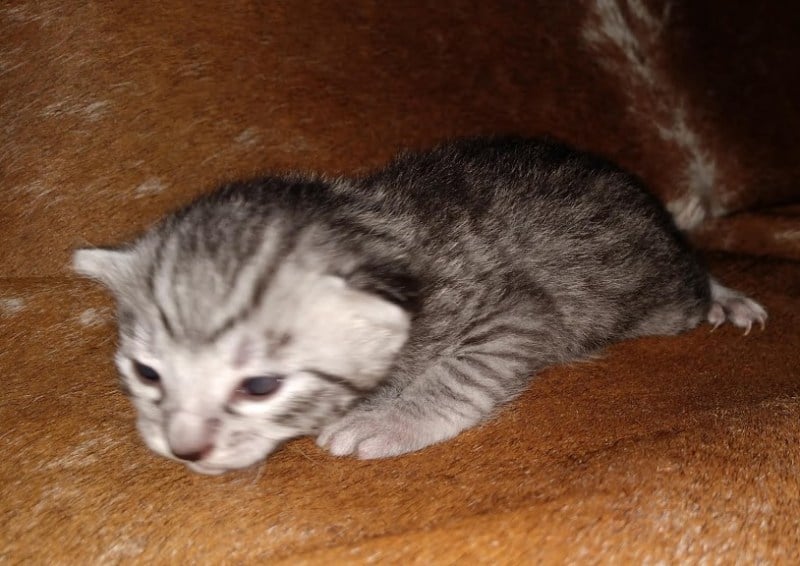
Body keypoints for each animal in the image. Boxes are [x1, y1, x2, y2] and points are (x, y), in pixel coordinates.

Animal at [73, 136, 766, 475]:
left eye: (260, 386)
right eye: (147, 373)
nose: (182, 448)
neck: (369, 224)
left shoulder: (516, 308)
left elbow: (468, 366)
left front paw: (389, 420)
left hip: (661, 297)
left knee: (690, 281)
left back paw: (725, 296)